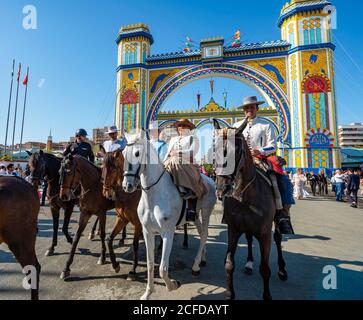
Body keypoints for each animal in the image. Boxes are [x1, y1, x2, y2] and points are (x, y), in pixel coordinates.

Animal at [122, 131, 219, 300]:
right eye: (122, 153)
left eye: (137, 153)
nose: (126, 186)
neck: (154, 195)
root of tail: (209, 180)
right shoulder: (147, 232)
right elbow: (150, 264)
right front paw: (147, 293)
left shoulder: (168, 233)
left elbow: (162, 268)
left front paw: (173, 284)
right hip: (194, 216)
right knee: (202, 234)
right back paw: (202, 259)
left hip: (206, 211)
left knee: (205, 234)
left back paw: (195, 266)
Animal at [213, 119, 288, 300]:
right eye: (214, 148)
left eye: (237, 151)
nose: (222, 188)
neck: (244, 196)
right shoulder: (233, 229)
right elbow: (229, 263)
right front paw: (229, 294)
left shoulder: (264, 232)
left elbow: (265, 269)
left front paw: (267, 296)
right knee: (248, 238)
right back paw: (249, 263)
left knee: (278, 238)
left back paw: (282, 270)